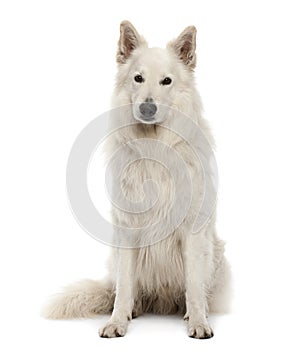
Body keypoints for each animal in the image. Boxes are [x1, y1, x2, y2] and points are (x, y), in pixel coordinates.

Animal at [45, 20, 232, 338]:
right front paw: (117, 322)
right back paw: (132, 310)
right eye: (138, 78)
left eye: (166, 81)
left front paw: (198, 322)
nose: (147, 108)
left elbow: (195, 287)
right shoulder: (128, 230)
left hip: (215, 254)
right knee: (124, 290)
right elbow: (124, 287)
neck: (154, 146)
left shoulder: (193, 233)